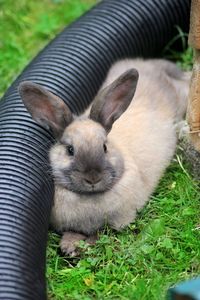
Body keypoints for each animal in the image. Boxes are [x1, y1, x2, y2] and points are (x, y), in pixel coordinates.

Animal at [18, 59, 190, 256]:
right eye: (70, 150)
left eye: (105, 147)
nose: (93, 178)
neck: (90, 197)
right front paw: (69, 246)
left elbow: (101, 234)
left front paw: (80, 246)